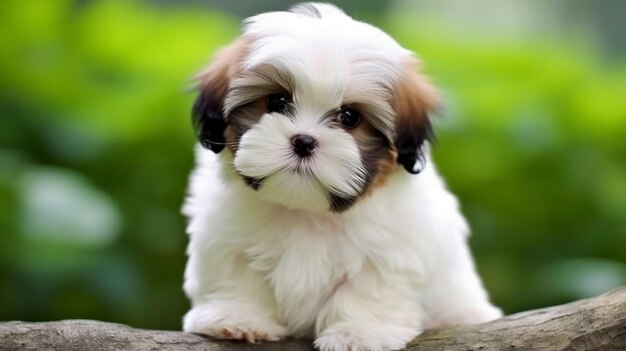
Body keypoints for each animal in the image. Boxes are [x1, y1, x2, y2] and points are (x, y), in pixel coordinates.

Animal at [182, 3, 502, 351]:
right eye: (276, 101)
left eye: (350, 116)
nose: (304, 141)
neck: (305, 211)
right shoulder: (223, 234)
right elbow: (236, 272)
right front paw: (237, 317)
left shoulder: (391, 251)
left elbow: (368, 289)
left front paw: (358, 332)